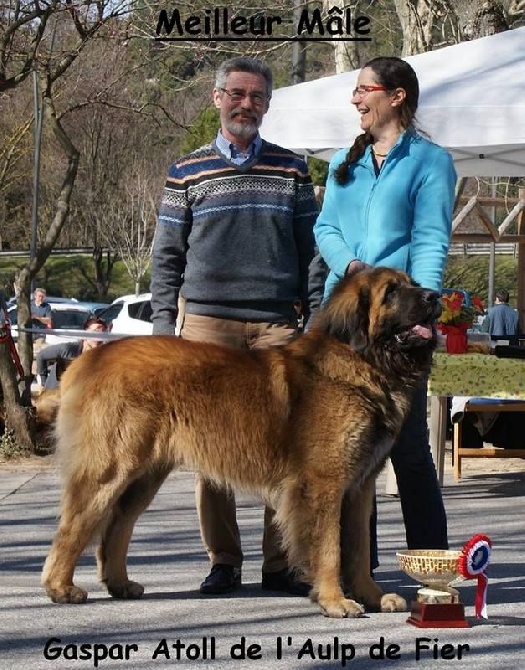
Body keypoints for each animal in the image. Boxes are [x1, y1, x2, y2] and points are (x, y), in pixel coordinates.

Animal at [43, 266, 440, 620]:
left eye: (412, 283)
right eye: (391, 292)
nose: (434, 296)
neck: (364, 363)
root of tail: (88, 358)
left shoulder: (359, 487)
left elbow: (357, 549)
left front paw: (371, 595)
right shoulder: (323, 484)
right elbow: (329, 547)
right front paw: (334, 601)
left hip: (145, 476)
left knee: (116, 526)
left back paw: (119, 583)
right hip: (111, 470)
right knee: (74, 525)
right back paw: (61, 588)